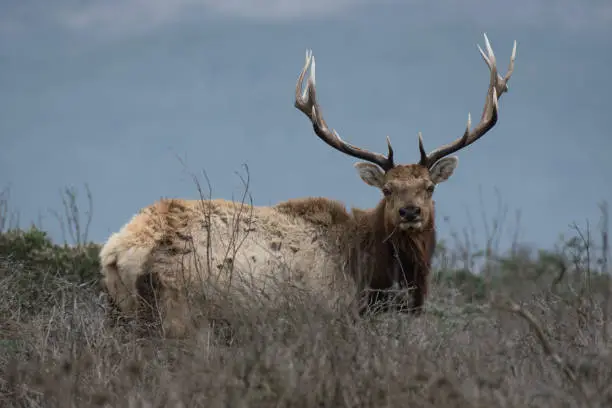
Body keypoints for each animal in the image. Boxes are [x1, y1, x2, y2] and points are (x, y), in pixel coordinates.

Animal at [99, 33, 516, 336]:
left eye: (429, 186)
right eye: (387, 190)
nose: (410, 212)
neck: (369, 273)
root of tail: (118, 250)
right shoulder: (332, 316)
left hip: (123, 315)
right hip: (182, 316)